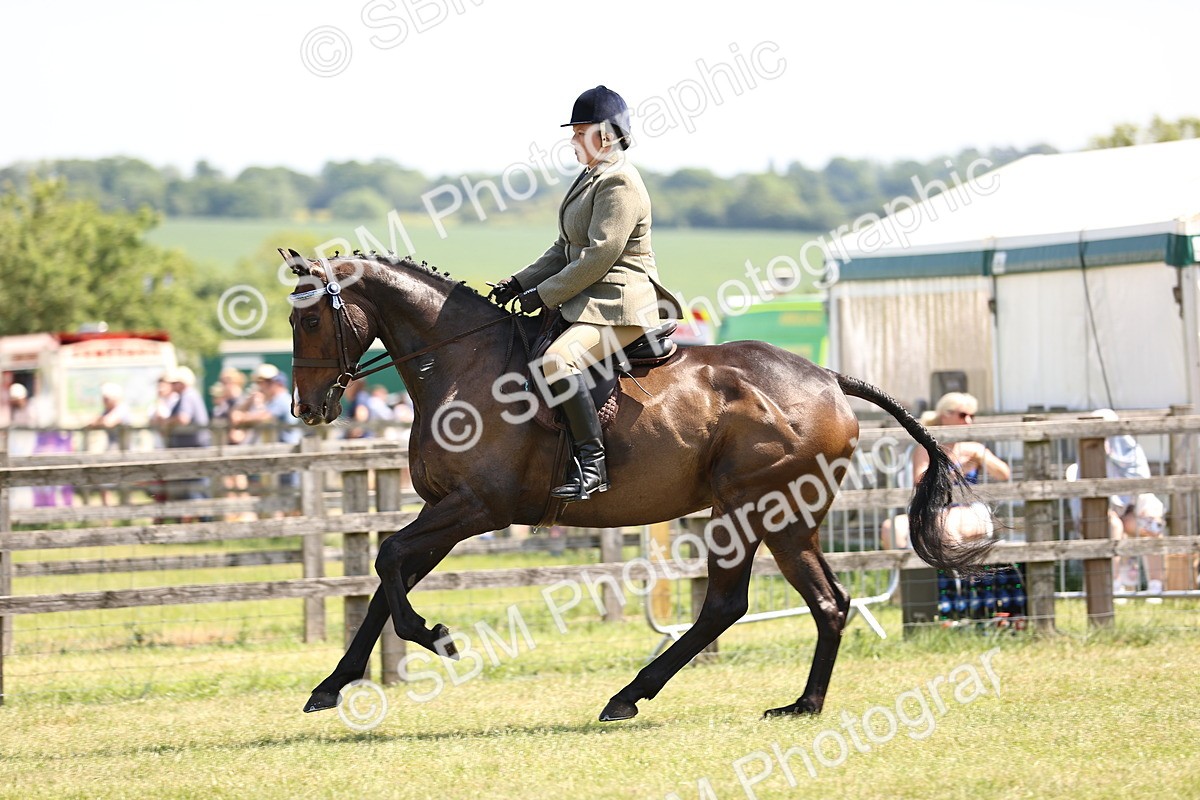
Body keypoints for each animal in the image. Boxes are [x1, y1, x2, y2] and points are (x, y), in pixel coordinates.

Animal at [285, 250, 992, 721]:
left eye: (312, 321)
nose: (308, 409)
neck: (463, 361)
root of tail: (825, 378)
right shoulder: (444, 508)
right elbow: (386, 578)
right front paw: (332, 685)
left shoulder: (477, 507)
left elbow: (388, 561)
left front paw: (434, 636)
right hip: (770, 517)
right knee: (801, 603)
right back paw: (792, 704)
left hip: (760, 511)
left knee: (763, 603)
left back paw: (642, 698)